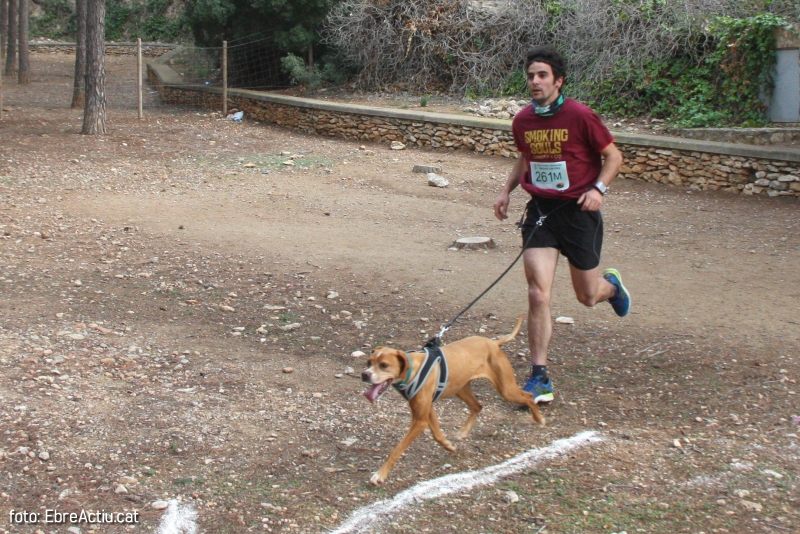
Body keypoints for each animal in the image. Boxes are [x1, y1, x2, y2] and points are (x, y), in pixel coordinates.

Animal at [360, 316, 544, 488]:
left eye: (384, 365)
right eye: (369, 362)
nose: (364, 374)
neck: (412, 369)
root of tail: (493, 343)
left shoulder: (419, 420)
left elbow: (396, 450)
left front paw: (380, 474)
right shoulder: (426, 411)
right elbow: (437, 434)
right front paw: (449, 446)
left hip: (506, 390)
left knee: (528, 397)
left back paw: (539, 419)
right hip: (460, 389)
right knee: (478, 406)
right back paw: (463, 432)